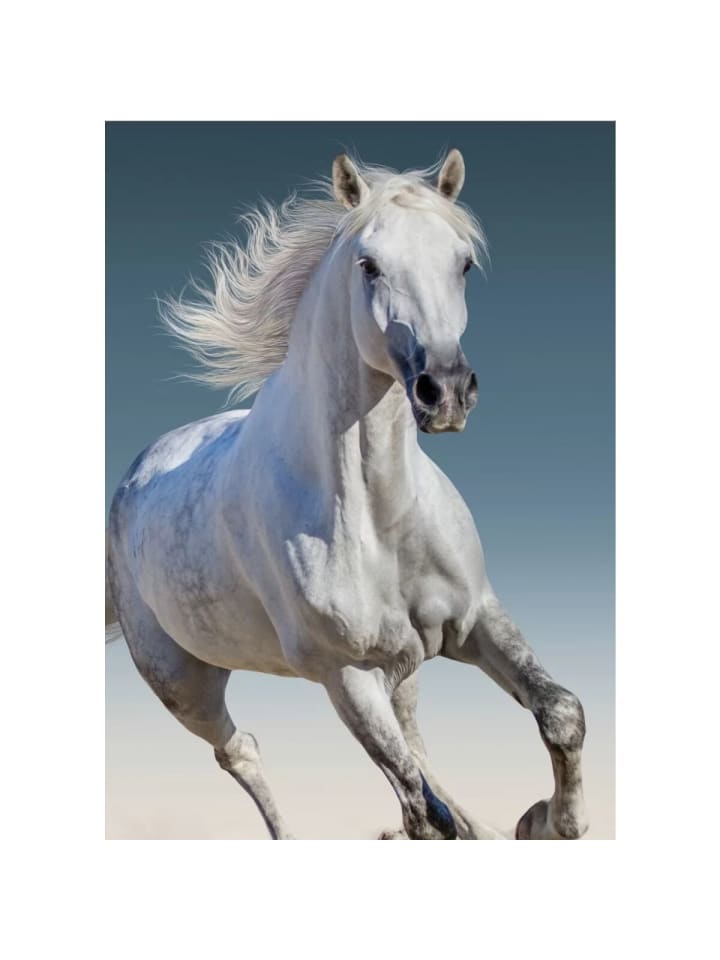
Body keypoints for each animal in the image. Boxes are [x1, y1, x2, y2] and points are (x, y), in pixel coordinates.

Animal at [106, 150, 588, 840]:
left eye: (463, 262)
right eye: (369, 264)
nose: (445, 391)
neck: (377, 513)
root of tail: (137, 474)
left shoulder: (474, 619)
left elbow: (560, 711)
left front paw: (549, 821)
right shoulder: (346, 675)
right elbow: (418, 809)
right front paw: (533, 820)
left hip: (403, 661)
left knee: (414, 737)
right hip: (183, 684)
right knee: (240, 750)